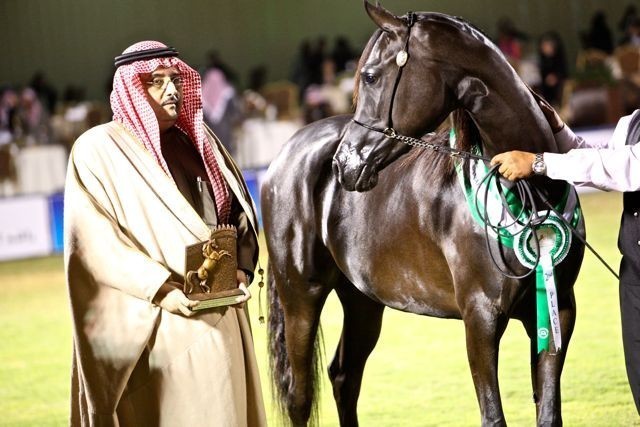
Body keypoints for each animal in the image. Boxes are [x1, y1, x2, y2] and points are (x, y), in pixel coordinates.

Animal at [261, 2, 585, 426]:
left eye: (370, 75)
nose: (344, 164)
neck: (528, 191)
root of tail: (285, 156)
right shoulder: (480, 318)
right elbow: (493, 415)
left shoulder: (557, 310)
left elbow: (548, 414)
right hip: (301, 297)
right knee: (300, 397)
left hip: (362, 301)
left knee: (344, 376)